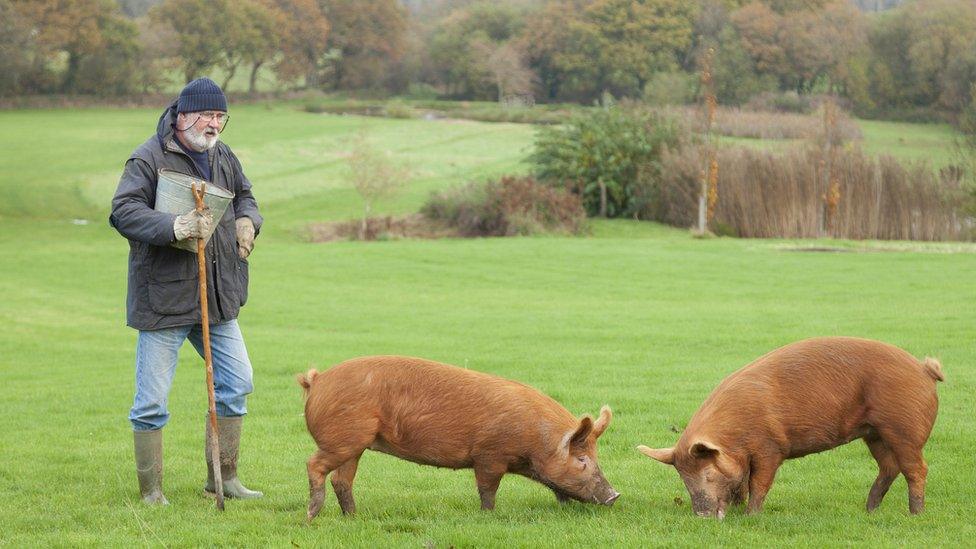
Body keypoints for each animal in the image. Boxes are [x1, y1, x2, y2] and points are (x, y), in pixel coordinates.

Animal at [296, 356, 616, 520]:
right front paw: (488, 516)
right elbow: (488, 489)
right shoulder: (489, 455)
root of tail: (317, 380)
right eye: (582, 459)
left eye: (596, 457)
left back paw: (353, 517)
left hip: (354, 445)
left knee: (342, 480)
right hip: (343, 439)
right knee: (314, 465)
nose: (615, 495)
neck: (535, 440)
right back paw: (312, 516)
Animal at [636, 334, 940, 520]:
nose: (701, 515)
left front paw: (750, 516)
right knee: (889, 467)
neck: (735, 435)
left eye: (708, 474)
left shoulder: (770, 448)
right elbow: (742, 482)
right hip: (874, 433)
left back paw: (916, 514)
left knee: (916, 468)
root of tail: (923, 369)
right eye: (683, 478)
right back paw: (869, 510)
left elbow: (758, 482)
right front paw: (738, 510)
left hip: (903, 427)